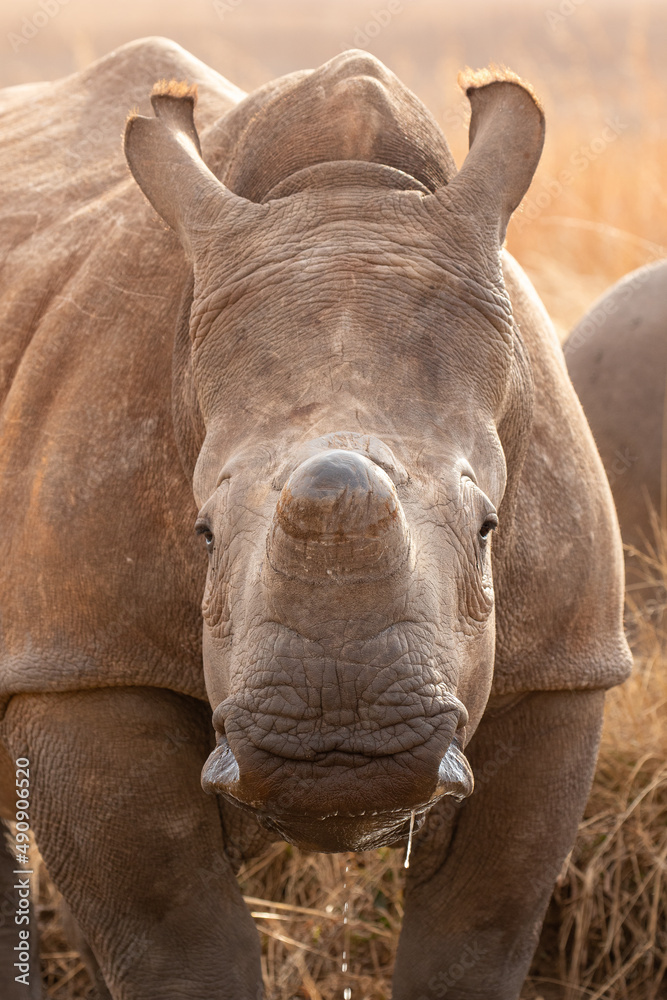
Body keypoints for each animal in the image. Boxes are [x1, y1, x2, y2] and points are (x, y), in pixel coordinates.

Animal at [0, 38, 631, 1000]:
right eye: (202, 532)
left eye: (489, 528)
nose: (338, 756)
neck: (342, 187)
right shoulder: (80, 662)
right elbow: (175, 937)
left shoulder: (560, 669)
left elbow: (477, 935)